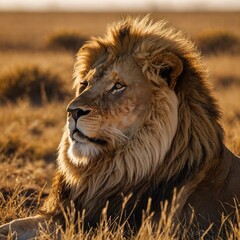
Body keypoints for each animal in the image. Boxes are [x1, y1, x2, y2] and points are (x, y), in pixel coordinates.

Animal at [0, 16, 240, 238]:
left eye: (118, 86)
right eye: (84, 84)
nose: (72, 111)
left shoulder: (126, 228)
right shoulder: (71, 213)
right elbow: (21, 224)